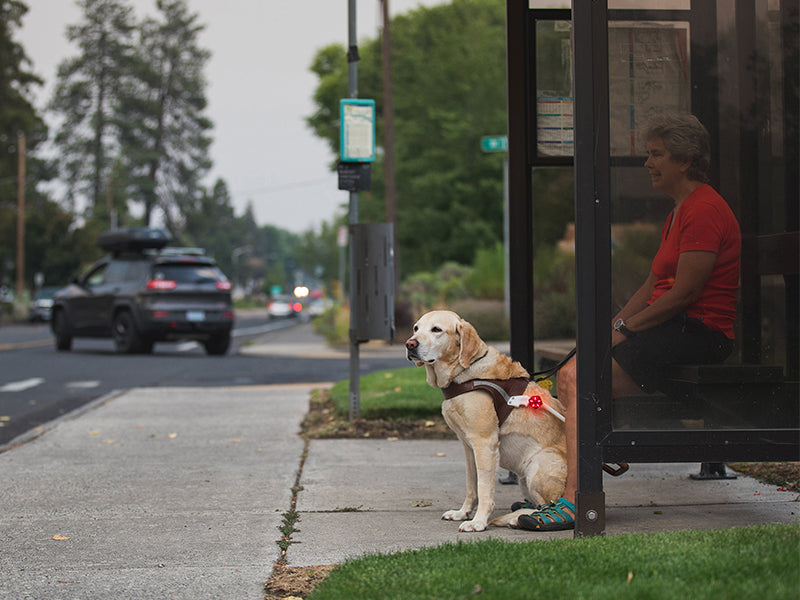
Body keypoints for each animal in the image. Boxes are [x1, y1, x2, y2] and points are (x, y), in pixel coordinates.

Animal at [406, 312, 568, 532]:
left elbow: (484, 488)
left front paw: (478, 521)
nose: (409, 344)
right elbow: (471, 485)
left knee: (548, 505)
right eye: (416, 328)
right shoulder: (468, 447)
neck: (463, 373)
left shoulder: (485, 442)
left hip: (540, 463)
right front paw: (462, 513)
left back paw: (518, 518)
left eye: (436, 329)